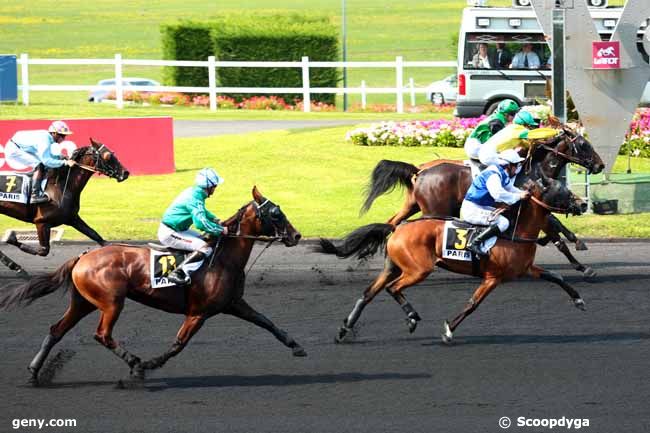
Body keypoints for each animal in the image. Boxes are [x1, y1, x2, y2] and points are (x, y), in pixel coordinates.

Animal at [0, 138, 128, 256]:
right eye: (107, 156)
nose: (125, 173)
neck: (60, 186)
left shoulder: (72, 218)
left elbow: (97, 236)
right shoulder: (41, 222)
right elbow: (43, 250)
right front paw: (11, 238)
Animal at [0, 186, 306, 384]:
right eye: (276, 214)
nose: (296, 235)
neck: (221, 257)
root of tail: (83, 256)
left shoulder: (234, 303)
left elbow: (266, 322)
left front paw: (296, 346)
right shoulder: (199, 313)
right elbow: (178, 344)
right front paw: (149, 364)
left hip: (84, 302)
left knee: (57, 330)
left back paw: (34, 372)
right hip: (111, 302)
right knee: (102, 335)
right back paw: (135, 364)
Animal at [318, 175, 588, 340]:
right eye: (563, 191)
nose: (584, 203)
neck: (514, 231)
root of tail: (398, 228)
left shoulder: (525, 269)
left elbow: (556, 276)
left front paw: (578, 300)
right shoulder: (493, 277)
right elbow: (472, 304)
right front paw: (449, 330)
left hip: (392, 267)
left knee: (368, 294)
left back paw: (345, 329)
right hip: (417, 270)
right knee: (393, 289)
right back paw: (412, 318)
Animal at [360, 126, 604, 278]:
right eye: (584, 145)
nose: (600, 165)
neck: (533, 169)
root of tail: (419, 171)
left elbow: (557, 227)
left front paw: (577, 243)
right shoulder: (533, 206)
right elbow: (557, 236)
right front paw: (583, 266)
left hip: (413, 205)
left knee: (392, 223)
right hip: (433, 209)